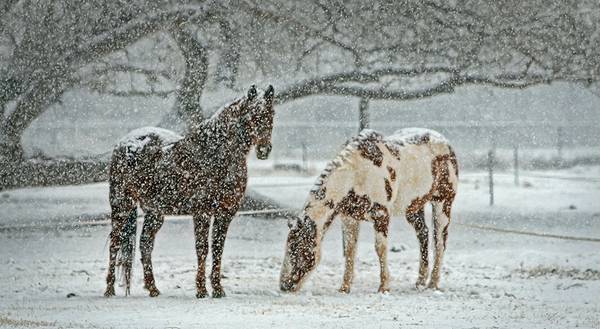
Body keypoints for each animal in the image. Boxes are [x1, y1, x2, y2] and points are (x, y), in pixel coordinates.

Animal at [104, 84, 276, 298]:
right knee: (115, 243)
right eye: (252, 115)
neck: (216, 154)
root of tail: (124, 143)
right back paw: (109, 289)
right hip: (122, 205)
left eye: (271, 113)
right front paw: (201, 289)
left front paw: (218, 289)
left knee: (145, 244)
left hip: (155, 212)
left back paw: (153, 288)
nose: (264, 150)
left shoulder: (225, 213)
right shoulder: (202, 212)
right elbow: (202, 249)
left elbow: (218, 249)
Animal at [282, 127, 460, 292]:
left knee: (440, 242)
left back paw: (433, 283)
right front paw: (344, 288)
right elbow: (350, 250)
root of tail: (446, 143)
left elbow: (380, 249)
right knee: (423, 234)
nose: (284, 285)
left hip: (443, 203)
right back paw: (420, 281)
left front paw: (384, 287)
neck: (356, 174)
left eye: (298, 248)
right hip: (413, 207)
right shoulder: (349, 218)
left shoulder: (381, 215)